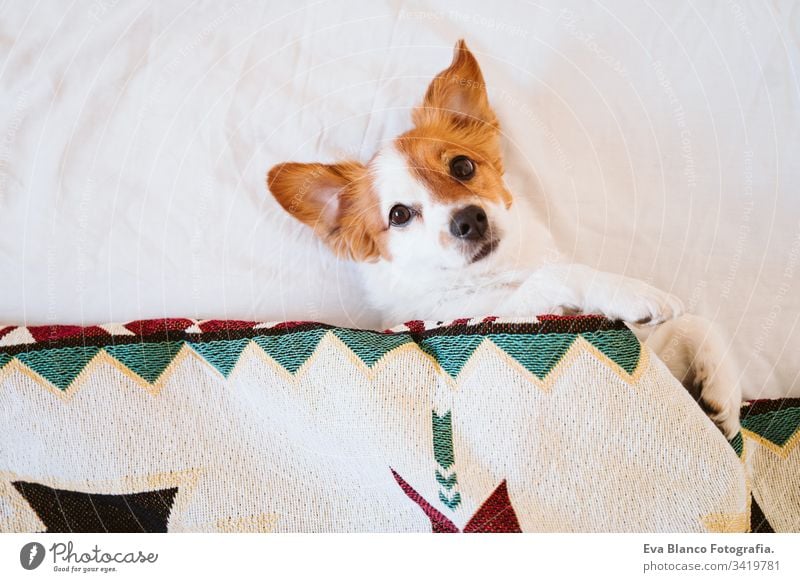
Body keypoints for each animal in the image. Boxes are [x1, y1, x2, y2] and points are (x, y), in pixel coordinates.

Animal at [268, 40, 744, 438]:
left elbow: (699, 324)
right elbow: (561, 276)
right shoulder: (494, 316)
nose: (469, 220)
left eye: (462, 166)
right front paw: (632, 292)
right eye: (399, 215)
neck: (499, 275)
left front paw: (725, 398)